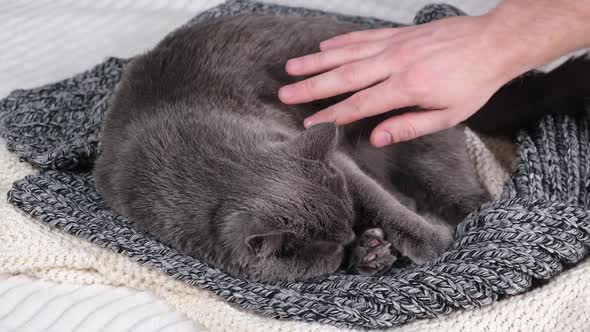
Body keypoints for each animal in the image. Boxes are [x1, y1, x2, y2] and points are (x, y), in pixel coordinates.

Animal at [95, 14, 590, 282]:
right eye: (331, 248)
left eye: (344, 228)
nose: (353, 237)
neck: (207, 162)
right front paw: (369, 254)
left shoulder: (333, 159)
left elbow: (380, 201)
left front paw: (428, 244)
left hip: (413, 139)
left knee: (469, 200)